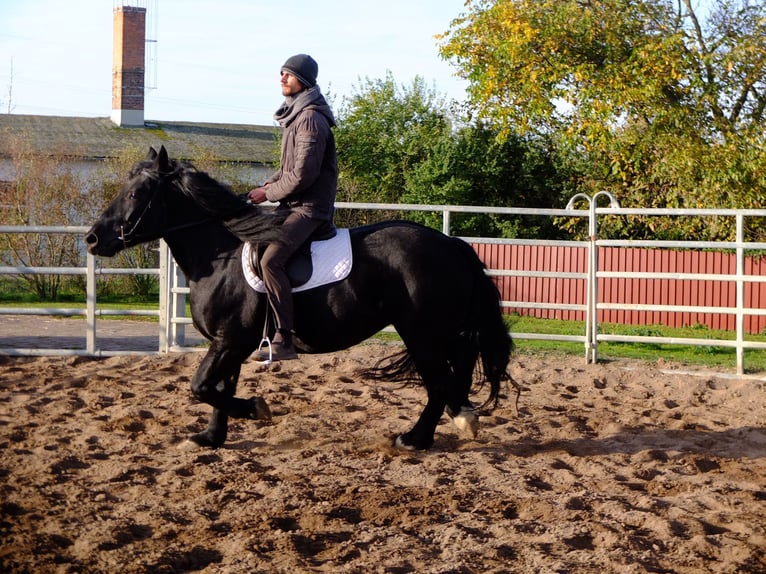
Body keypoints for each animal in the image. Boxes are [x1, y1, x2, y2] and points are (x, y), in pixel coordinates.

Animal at [85, 146, 516, 452]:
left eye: (136, 193)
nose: (92, 239)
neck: (222, 257)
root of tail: (451, 244)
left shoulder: (229, 341)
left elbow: (202, 386)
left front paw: (255, 408)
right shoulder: (232, 345)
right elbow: (220, 387)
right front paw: (211, 438)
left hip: (421, 334)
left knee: (439, 383)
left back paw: (415, 439)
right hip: (443, 331)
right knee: (459, 368)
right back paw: (462, 415)